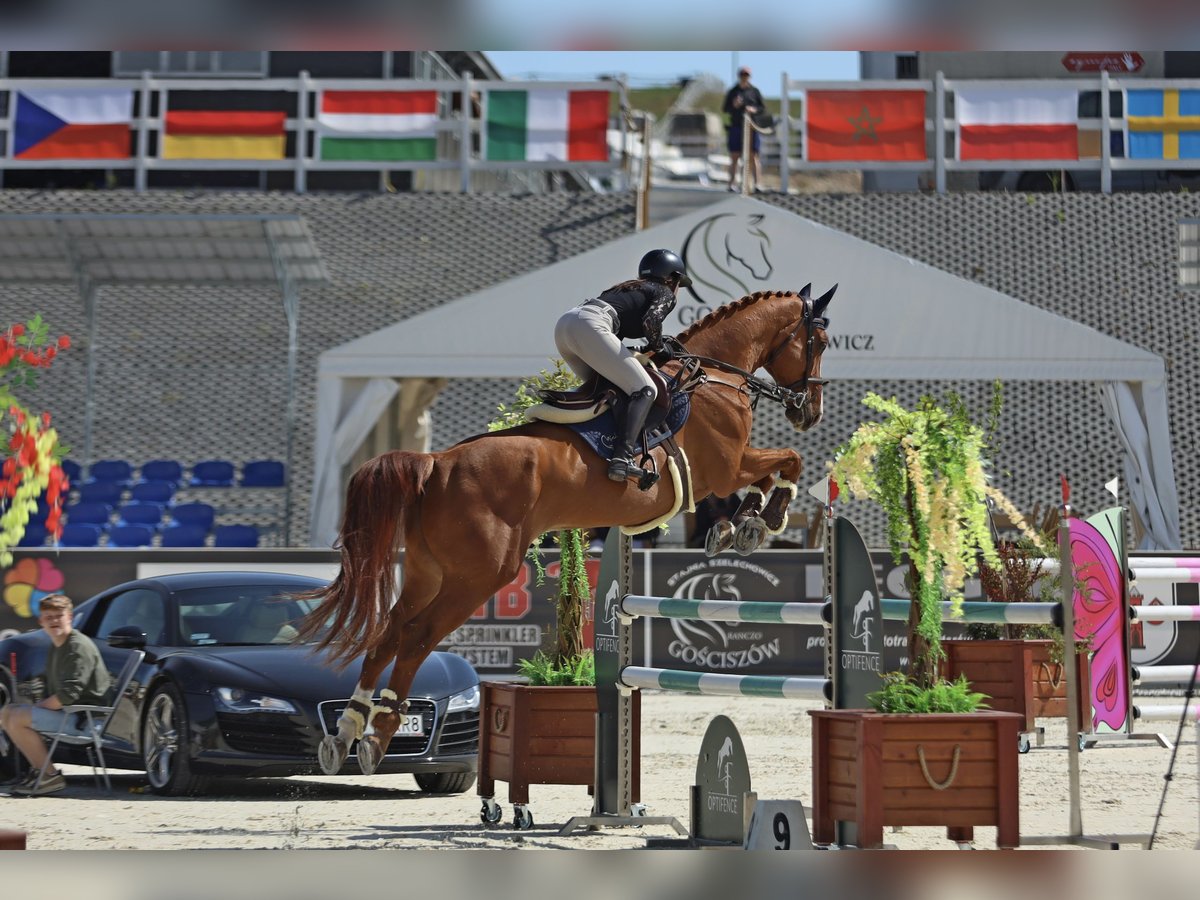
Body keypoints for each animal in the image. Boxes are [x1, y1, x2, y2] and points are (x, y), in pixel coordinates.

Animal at [297, 283, 835, 777]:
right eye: (820, 341)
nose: (810, 412)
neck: (717, 376)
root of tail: (436, 463)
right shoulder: (724, 470)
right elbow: (788, 460)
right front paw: (759, 520)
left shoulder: (726, 472)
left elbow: (775, 469)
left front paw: (738, 526)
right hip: (479, 576)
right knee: (415, 637)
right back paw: (378, 734)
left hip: (428, 573)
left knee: (388, 631)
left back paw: (346, 732)